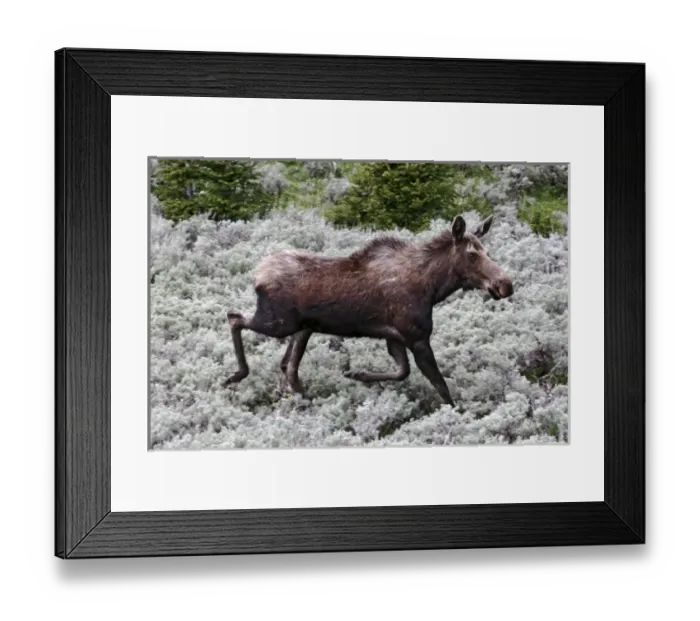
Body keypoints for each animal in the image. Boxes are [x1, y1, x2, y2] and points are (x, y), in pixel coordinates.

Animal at [224, 214, 514, 406]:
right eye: (473, 254)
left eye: (487, 251)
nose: (505, 284)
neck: (433, 288)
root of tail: (258, 276)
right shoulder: (417, 336)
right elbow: (441, 387)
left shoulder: (394, 336)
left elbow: (402, 371)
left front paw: (358, 374)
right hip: (278, 322)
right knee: (234, 317)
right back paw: (236, 375)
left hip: (302, 328)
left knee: (288, 365)